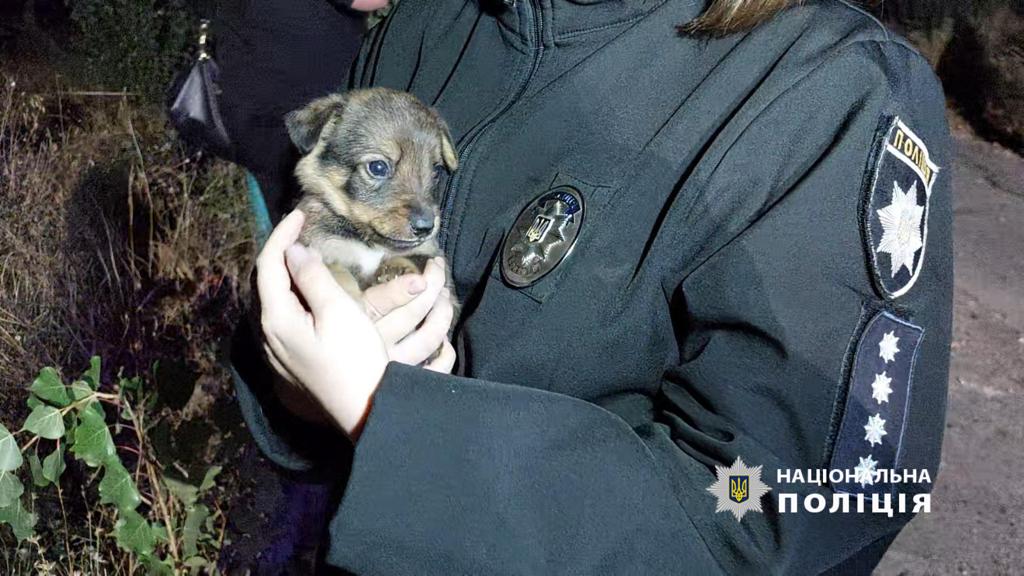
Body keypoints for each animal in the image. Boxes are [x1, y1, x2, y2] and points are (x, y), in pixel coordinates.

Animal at [280, 87, 456, 303]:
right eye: (378, 167)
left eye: (436, 171)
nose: (425, 228)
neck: (371, 242)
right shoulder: (320, 249)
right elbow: (337, 273)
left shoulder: (433, 256)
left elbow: (417, 259)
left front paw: (397, 269)